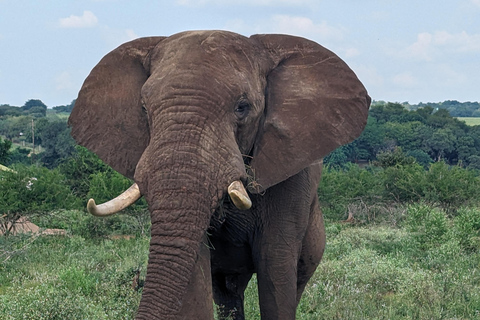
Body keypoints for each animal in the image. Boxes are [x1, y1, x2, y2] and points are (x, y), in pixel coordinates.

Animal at [67, 28, 370, 318]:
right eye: (143, 108)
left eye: (242, 107)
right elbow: (196, 272)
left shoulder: (292, 176)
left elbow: (275, 269)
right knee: (227, 292)